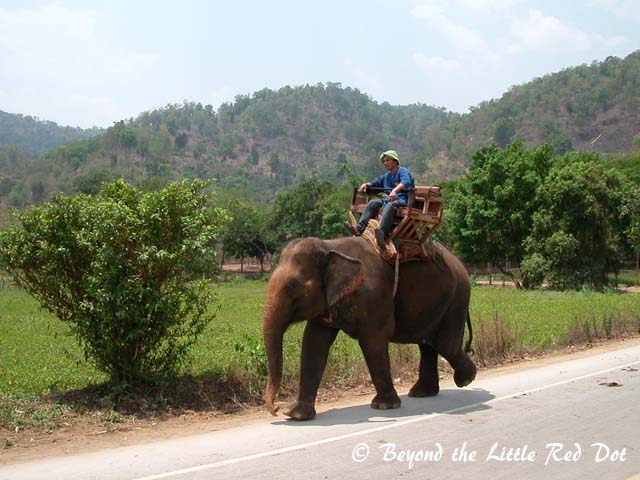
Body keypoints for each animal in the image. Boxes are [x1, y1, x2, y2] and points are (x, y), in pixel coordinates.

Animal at [262, 235, 476, 421]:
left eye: (293, 286)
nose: (276, 409)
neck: (330, 246)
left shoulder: (374, 296)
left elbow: (372, 341)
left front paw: (384, 406)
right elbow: (313, 343)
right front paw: (297, 415)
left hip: (458, 296)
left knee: (444, 344)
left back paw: (465, 379)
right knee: (428, 344)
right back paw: (423, 393)